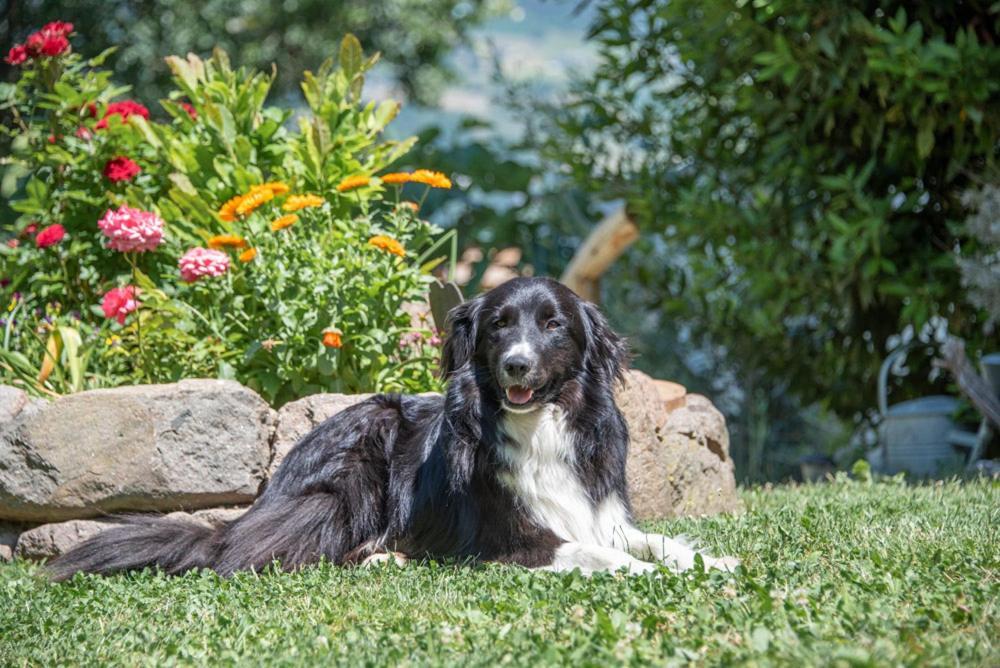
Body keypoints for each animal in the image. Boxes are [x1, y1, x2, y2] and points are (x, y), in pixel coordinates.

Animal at [50, 276, 740, 580]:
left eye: (553, 326)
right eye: (499, 326)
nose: (516, 364)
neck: (538, 424)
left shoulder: (602, 513)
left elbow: (657, 542)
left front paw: (714, 561)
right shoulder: (511, 538)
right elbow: (597, 553)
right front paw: (656, 577)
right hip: (353, 469)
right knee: (255, 554)